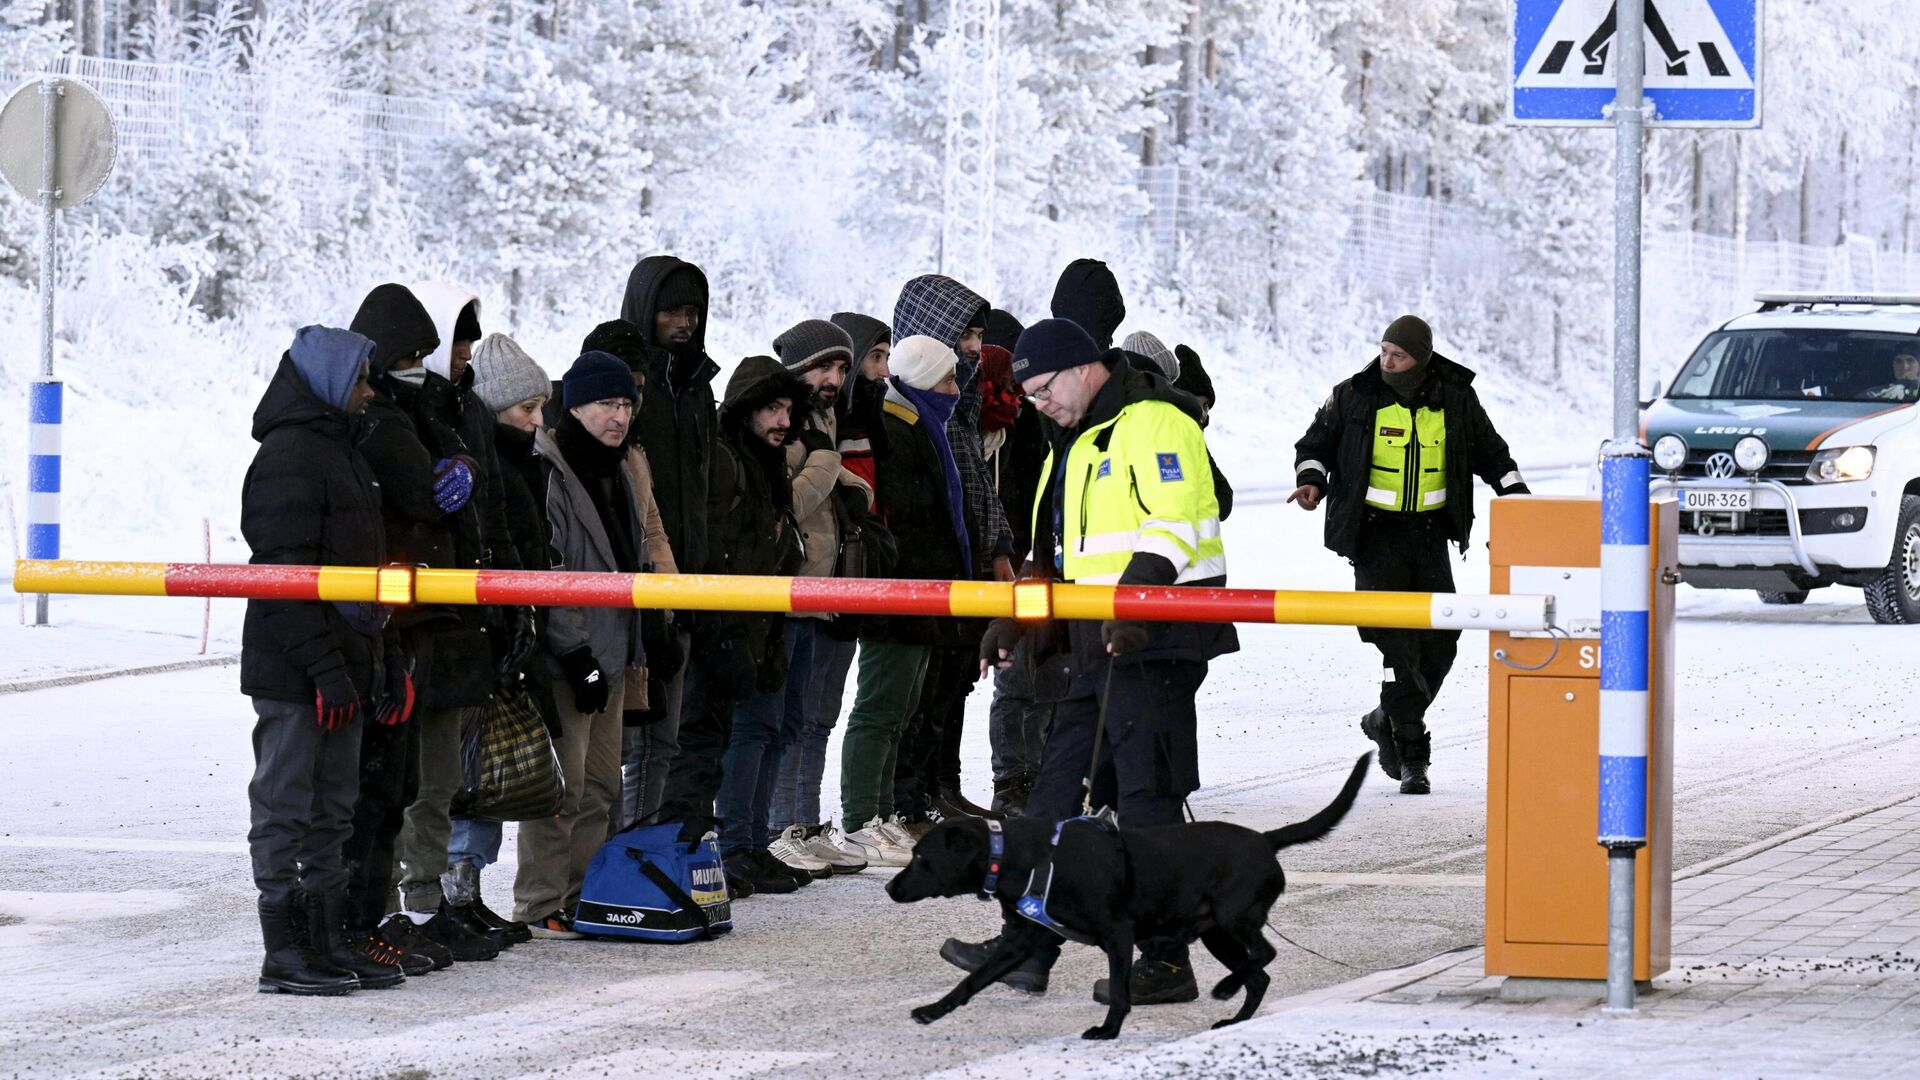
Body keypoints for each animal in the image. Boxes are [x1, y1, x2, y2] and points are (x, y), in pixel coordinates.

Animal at [883, 749, 1367, 1037]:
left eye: (922, 859)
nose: (889, 886)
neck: (1024, 856)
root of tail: (1265, 840)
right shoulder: (1022, 939)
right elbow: (974, 978)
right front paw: (934, 1010)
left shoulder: (1117, 936)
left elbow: (1119, 990)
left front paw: (1108, 1031)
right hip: (1216, 933)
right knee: (1260, 974)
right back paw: (1234, 1018)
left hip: (1234, 919)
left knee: (1264, 956)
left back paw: (1226, 990)